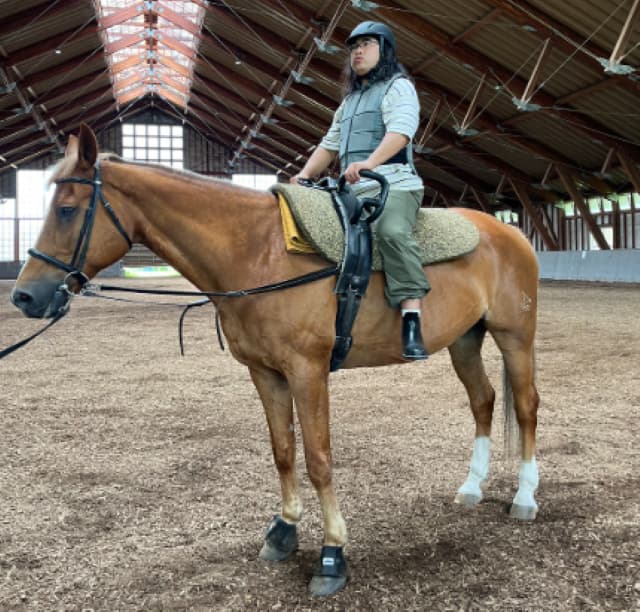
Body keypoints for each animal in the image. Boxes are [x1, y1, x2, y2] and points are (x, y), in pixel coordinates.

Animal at [10, 124, 540, 596]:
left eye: (66, 210)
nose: (24, 296)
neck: (259, 252)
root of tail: (509, 231)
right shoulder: (265, 373)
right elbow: (283, 451)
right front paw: (284, 530)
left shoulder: (308, 372)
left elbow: (319, 459)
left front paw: (332, 554)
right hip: (465, 340)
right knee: (483, 401)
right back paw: (471, 488)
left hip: (515, 337)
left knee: (526, 407)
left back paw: (525, 497)